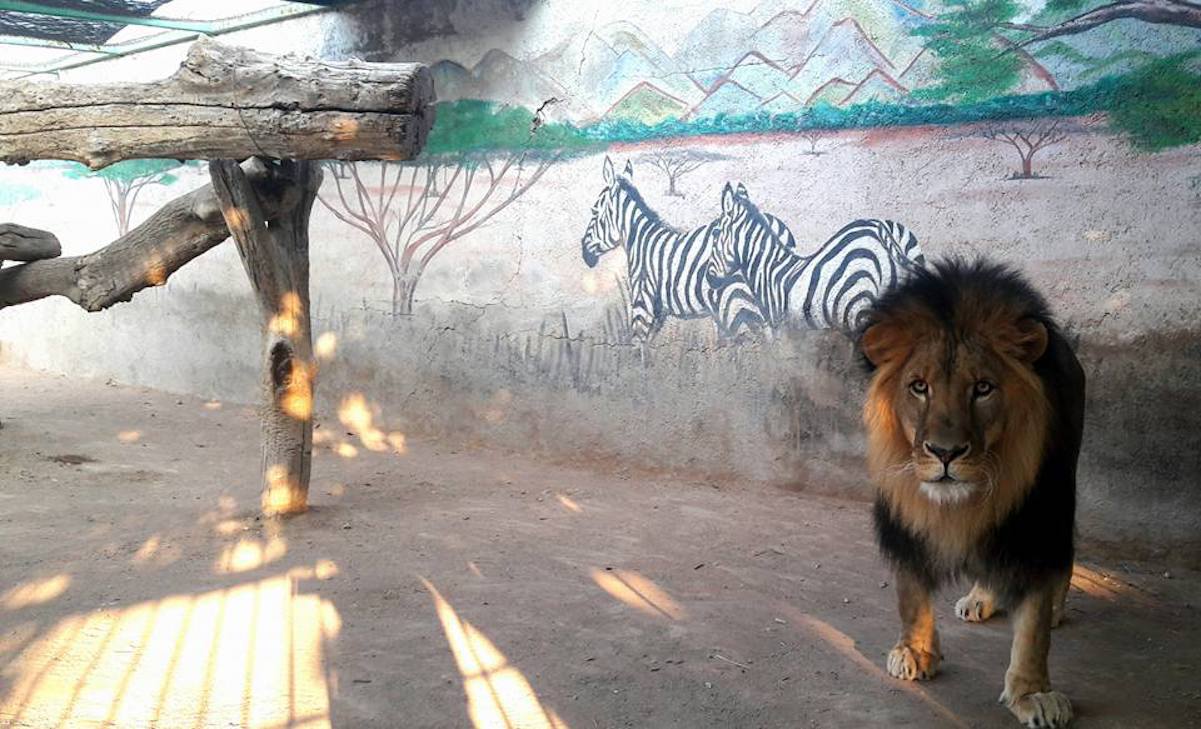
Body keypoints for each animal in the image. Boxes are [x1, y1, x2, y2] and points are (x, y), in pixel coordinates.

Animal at [583, 156, 797, 341]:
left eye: (594, 211)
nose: (585, 254)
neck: (640, 238)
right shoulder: (659, 311)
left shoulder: (642, 304)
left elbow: (638, 349)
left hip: (736, 303)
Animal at [706, 182, 922, 333]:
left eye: (715, 233)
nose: (709, 278)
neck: (770, 273)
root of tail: (879, 229)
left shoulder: (786, 332)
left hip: (859, 306)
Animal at [859, 259, 1085, 725]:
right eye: (919, 386)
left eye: (982, 388)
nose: (945, 453)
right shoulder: (903, 516)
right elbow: (911, 592)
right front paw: (915, 651)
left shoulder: (1036, 522)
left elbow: (1033, 628)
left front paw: (1032, 693)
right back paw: (981, 597)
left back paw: (1057, 608)